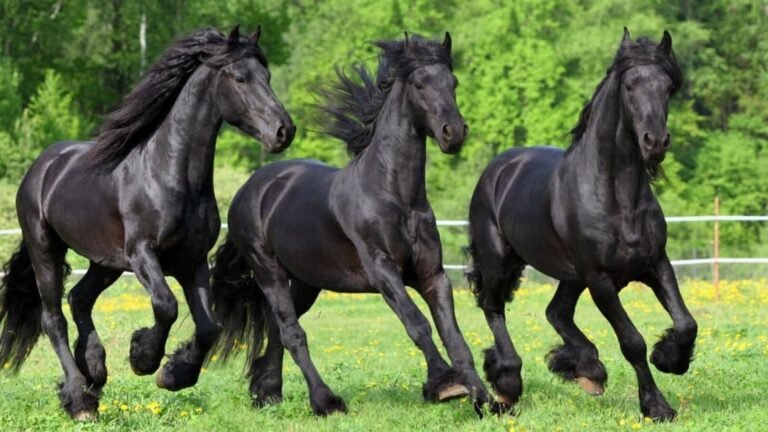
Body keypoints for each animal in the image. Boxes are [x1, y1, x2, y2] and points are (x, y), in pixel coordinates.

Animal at [0, 25, 294, 421]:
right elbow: (166, 306)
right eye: (240, 78)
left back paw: (94, 371)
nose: (284, 131)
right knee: (53, 318)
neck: (170, 175)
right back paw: (80, 399)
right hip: (45, 248)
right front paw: (142, 357)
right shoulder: (143, 254)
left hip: (105, 262)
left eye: (267, 76)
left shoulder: (192, 261)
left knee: (79, 298)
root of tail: (41, 167)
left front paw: (173, 374)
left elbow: (209, 327)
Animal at [209, 33, 498, 416]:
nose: (453, 133)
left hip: (306, 281)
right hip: (268, 270)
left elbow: (455, 337)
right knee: (292, 333)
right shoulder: (383, 273)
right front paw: (445, 384)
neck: (394, 196)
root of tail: (250, 188)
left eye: (453, 83)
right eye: (419, 84)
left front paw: (487, 401)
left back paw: (267, 392)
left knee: (279, 328)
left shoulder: (432, 274)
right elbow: (418, 325)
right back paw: (325, 401)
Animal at [465, 29, 697, 421]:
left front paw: (669, 359)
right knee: (493, 309)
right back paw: (508, 384)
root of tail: (498, 168)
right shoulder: (600, 280)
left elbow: (686, 324)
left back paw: (588, 371)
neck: (617, 198)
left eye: (668, 87)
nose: (655, 142)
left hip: (571, 275)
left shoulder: (655, 264)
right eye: (629, 86)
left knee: (556, 312)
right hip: (499, 261)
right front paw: (656, 405)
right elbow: (632, 342)